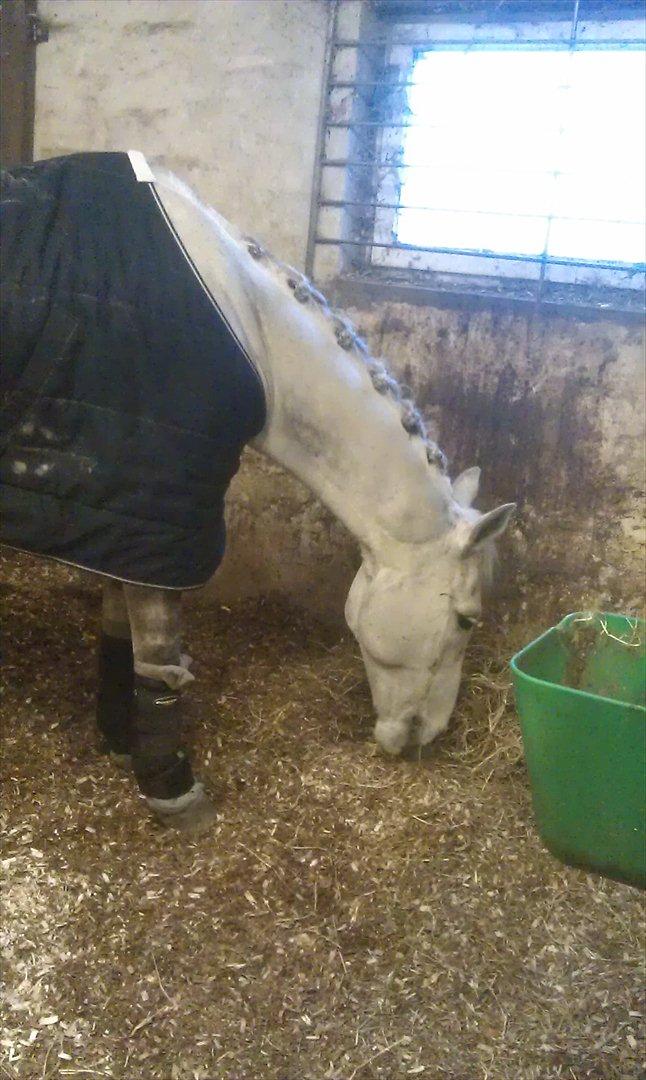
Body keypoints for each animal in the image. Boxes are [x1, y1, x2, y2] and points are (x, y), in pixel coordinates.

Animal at [0, 151, 515, 832]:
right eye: (464, 620)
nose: (424, 737)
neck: (247, 329)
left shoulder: (127, 511)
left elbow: (118, 624)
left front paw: (119, 738)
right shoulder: (160, 506)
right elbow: (158, 655)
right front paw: (170, 785)